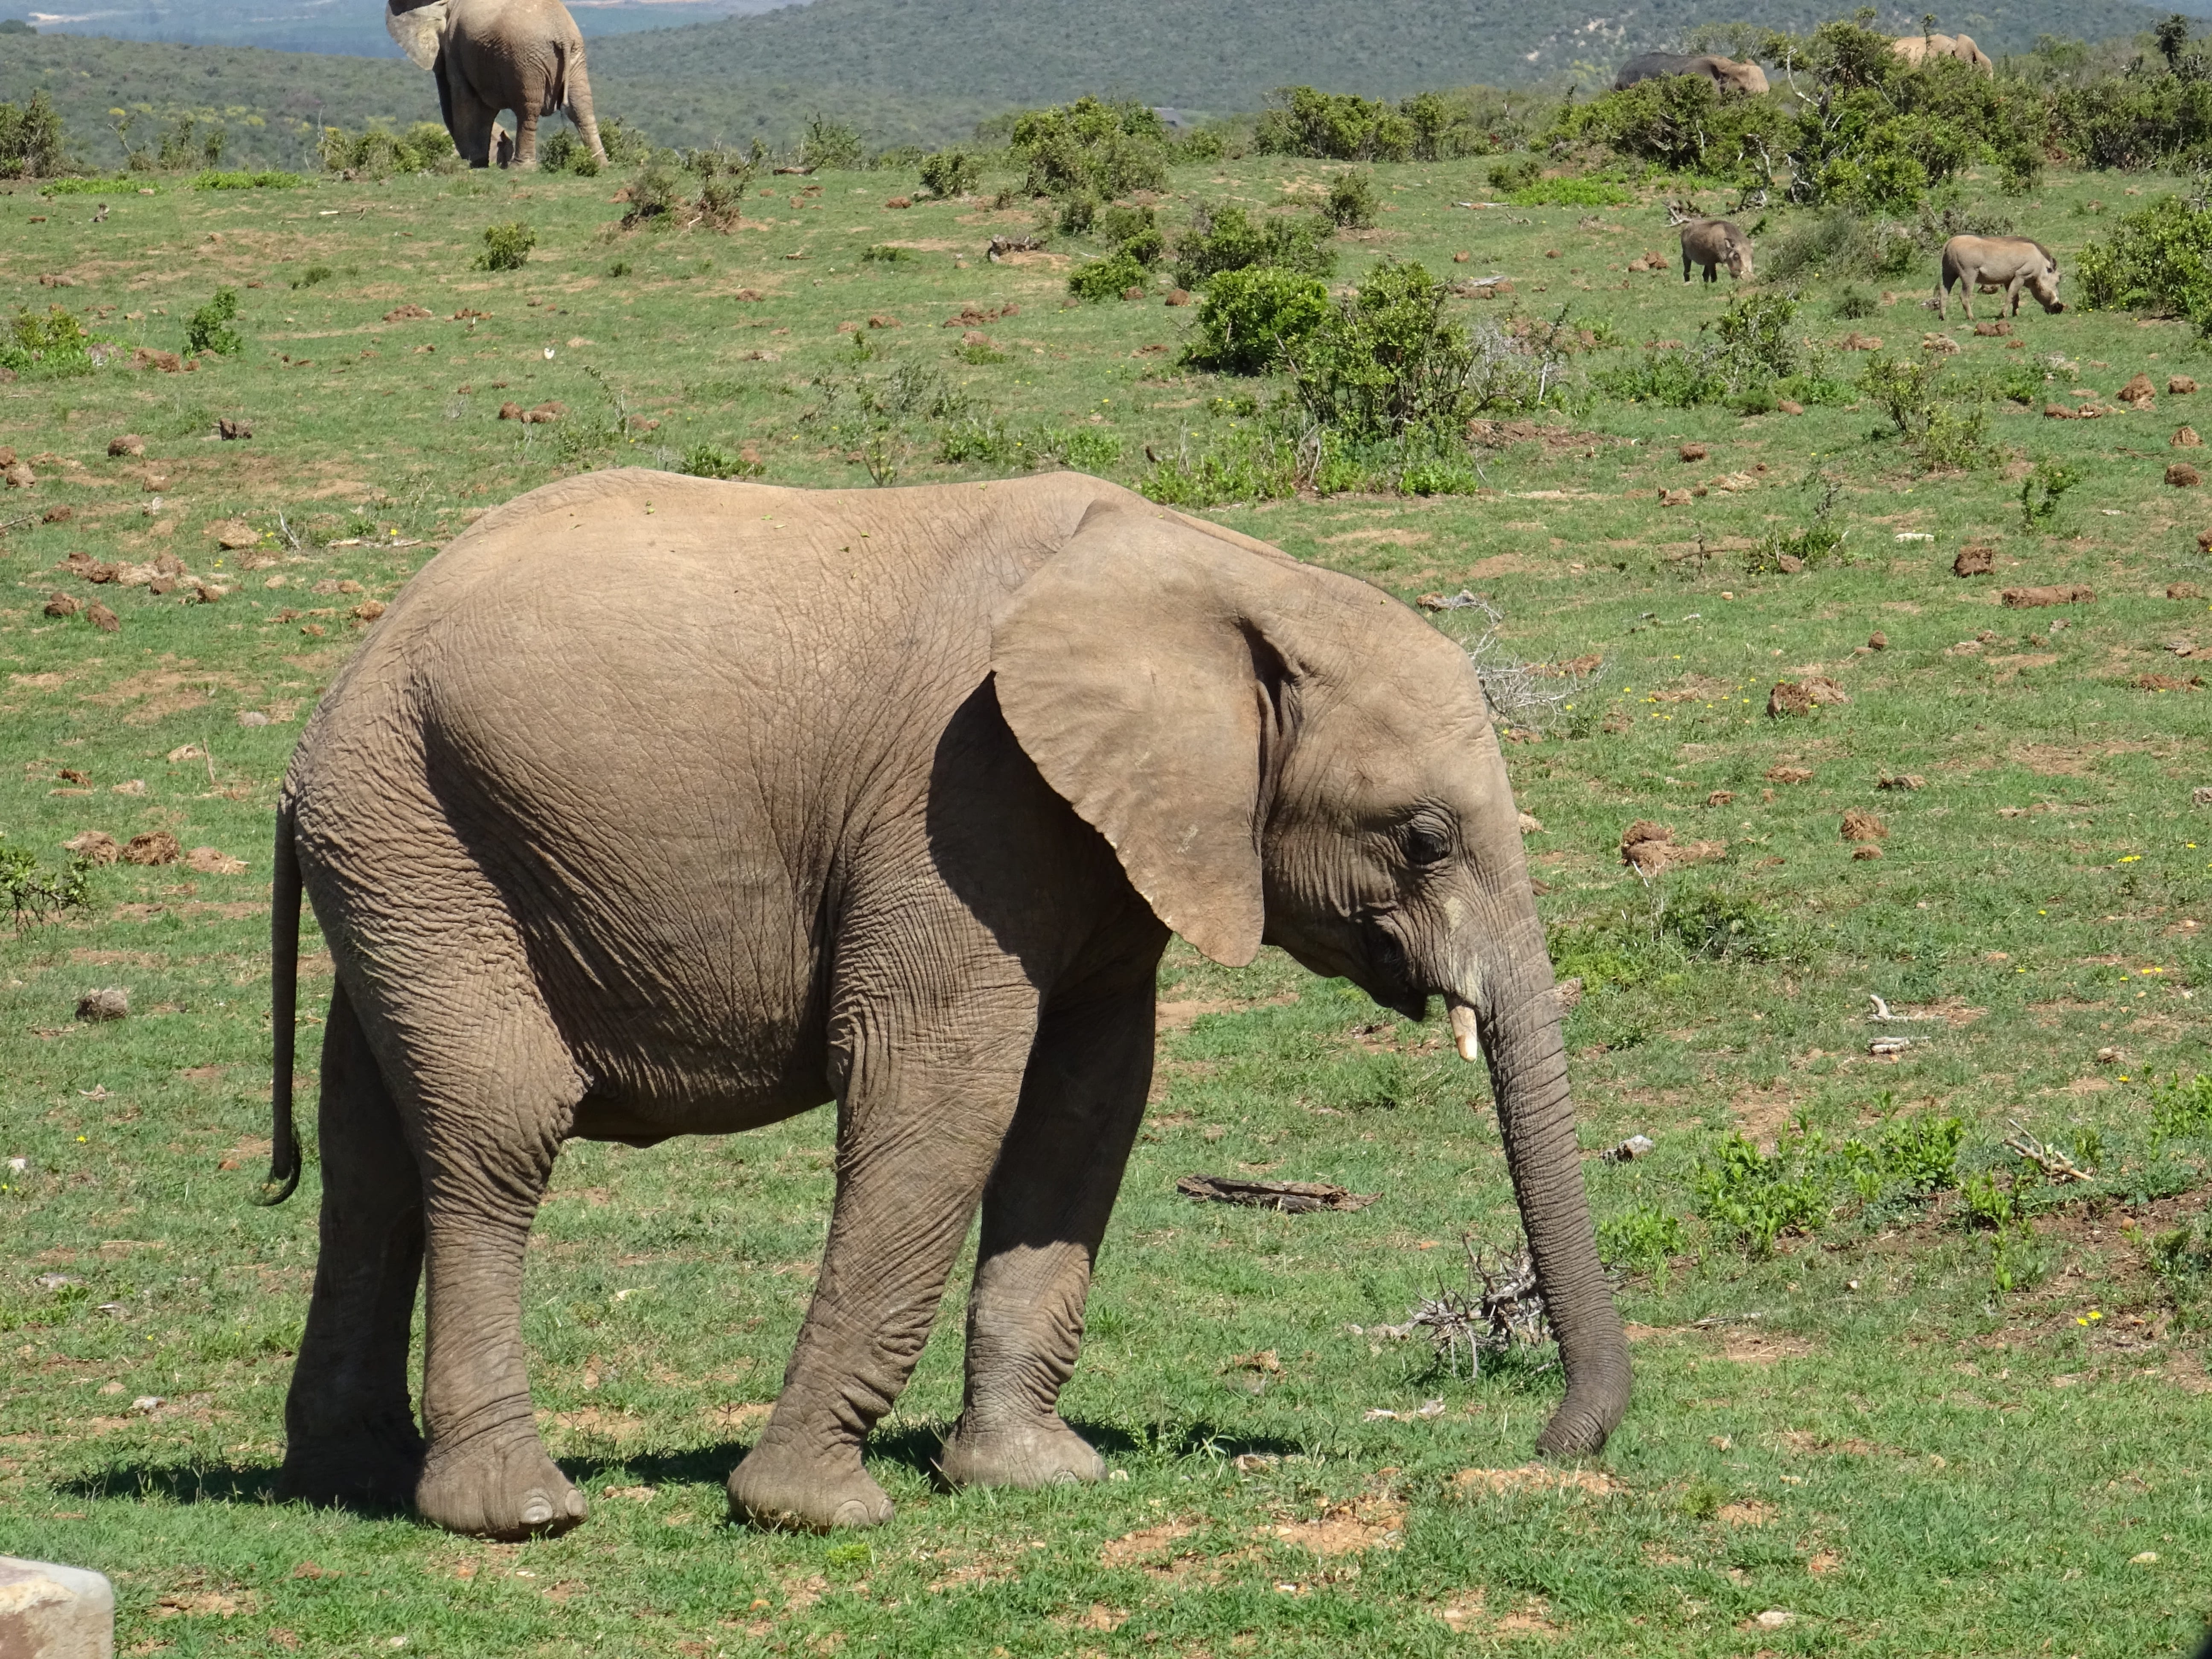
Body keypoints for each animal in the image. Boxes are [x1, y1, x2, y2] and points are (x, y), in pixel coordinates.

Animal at [257, 469, 1631, 1539]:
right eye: (1422, 838)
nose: (1552, 1443)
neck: (1223, 575)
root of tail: (335, 696)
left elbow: (1089, 1105)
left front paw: (1035, 1478)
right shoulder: (961, 795)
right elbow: (939, 1094)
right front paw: (812, 1512)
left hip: (401, 852)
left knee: (369, 1154)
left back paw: (350, 1477)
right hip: (422, 831)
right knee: (496, 1130)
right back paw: (517, 1512)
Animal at [386, 0, 606, 170]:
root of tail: (562, 35)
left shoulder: (456, 49)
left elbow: (466, 100)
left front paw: (473, 164)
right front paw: (478, 163)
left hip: (525, 60)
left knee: (528, 109)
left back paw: (521, 169)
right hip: (575, 55)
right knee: (581, 105)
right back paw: (600, 165)